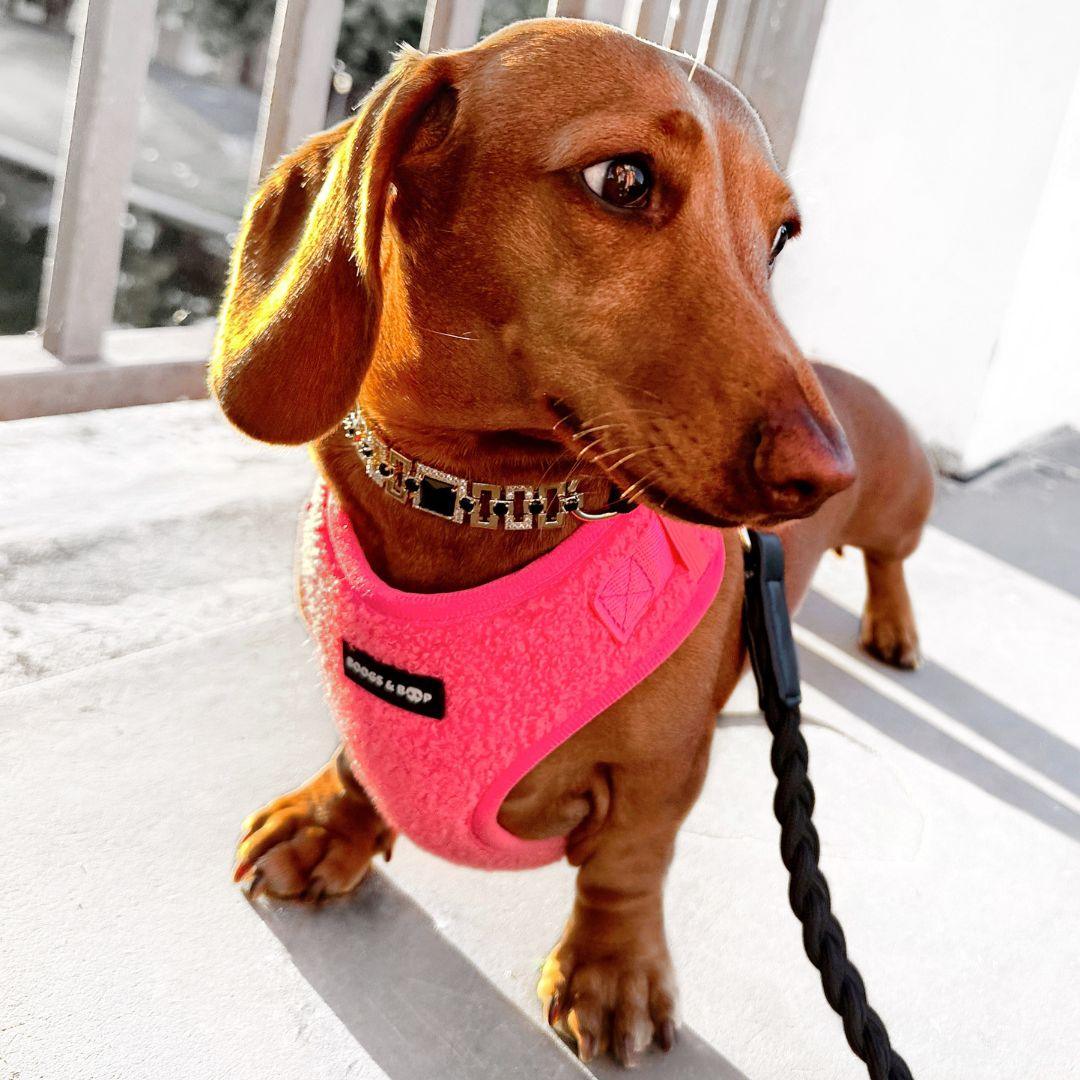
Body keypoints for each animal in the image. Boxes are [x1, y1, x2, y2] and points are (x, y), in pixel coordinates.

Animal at [208, 19, 928, 1071]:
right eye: (620, 179)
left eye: (781, 234)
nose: (825, 473)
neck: (483, 502)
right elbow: (359, 757)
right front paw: (332, 819)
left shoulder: (662, 768)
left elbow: (629, 861)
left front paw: (610, 968)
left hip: (898, 503)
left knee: (891, 558)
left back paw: (893, 621)